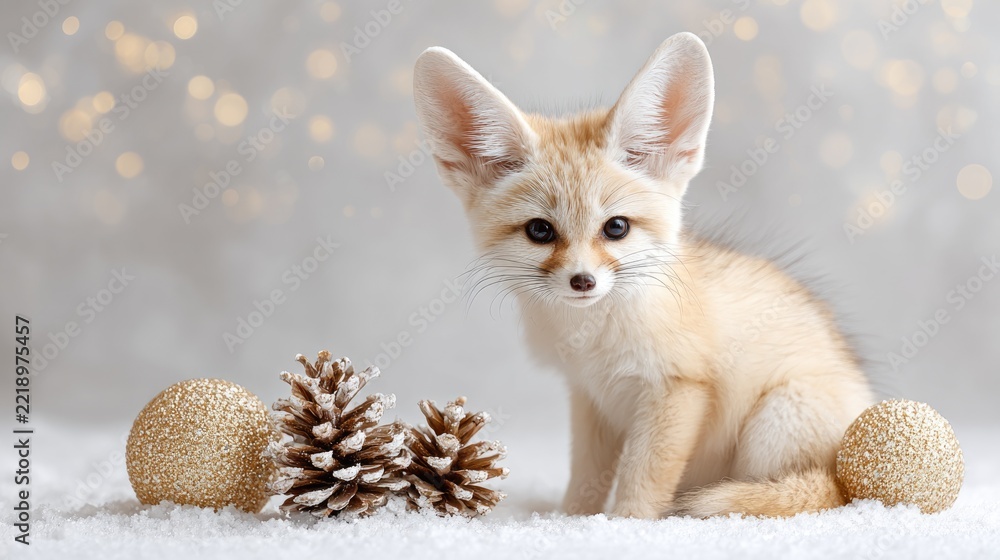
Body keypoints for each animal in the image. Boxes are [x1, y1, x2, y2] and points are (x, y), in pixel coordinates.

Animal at [412, 32, 875, 519]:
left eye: (616, 227)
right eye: (540, 231)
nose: (583, 282)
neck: (595, 338)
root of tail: (844, 478)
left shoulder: (676, 389)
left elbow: (643, 478)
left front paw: (624, 524)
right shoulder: (589, 397)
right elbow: (585, 479)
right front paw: (567, 521)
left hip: (775, 420)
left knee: (802, 492)